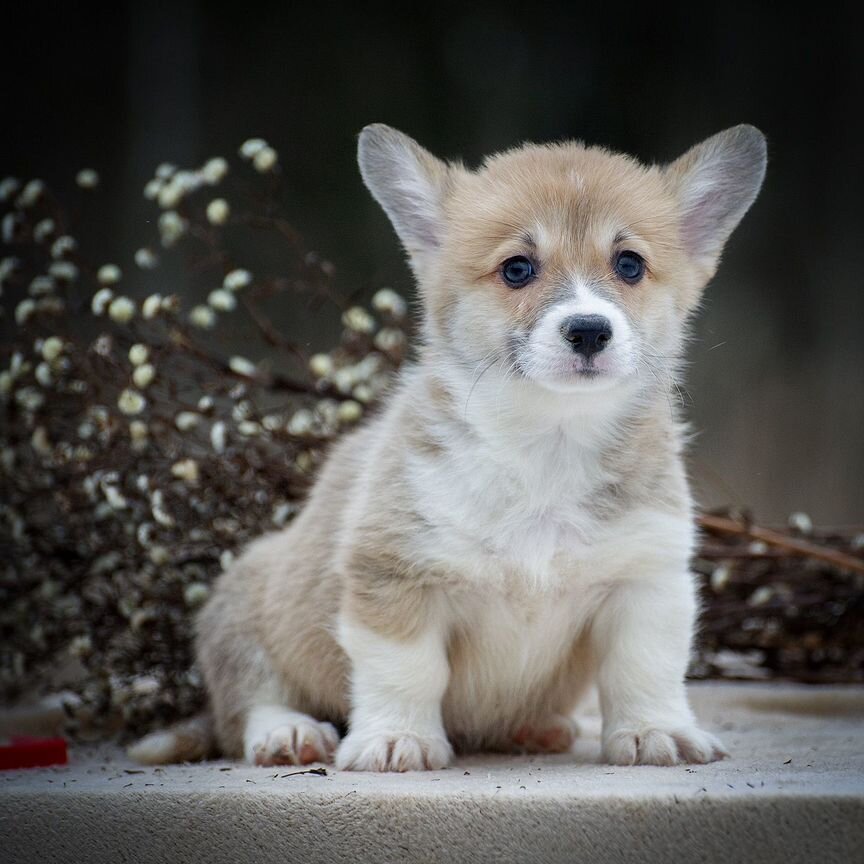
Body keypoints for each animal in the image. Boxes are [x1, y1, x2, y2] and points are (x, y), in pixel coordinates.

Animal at [128, 121, 764, 768]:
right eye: (517, 269)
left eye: (630, 264)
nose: (589, 331)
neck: (549, 442)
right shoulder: (392, 577)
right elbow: (407, 670)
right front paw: (397, 739)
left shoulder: (647, 579)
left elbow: (644, 668)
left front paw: (654, 731)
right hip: (244, 608)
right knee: (248, 703)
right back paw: (289, 733)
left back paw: (533, 727)